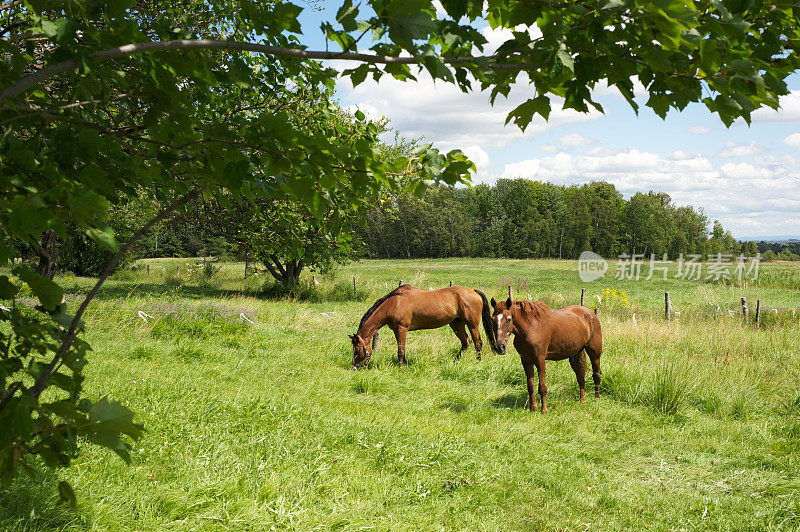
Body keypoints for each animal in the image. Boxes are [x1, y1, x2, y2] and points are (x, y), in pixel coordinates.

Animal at [352, 284, 500, 368]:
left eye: (357, 349)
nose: (355, 367)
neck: (394, 303)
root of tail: (473, 291)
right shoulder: (396, 330)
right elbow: (402, 349)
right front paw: (404, 364)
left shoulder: (402, 328)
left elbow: (400, 351)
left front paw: (401, 368)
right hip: (456, 324)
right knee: (466, 342)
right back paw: (454, 361)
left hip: (472, 323)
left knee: (477, 342)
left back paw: (478, 362)